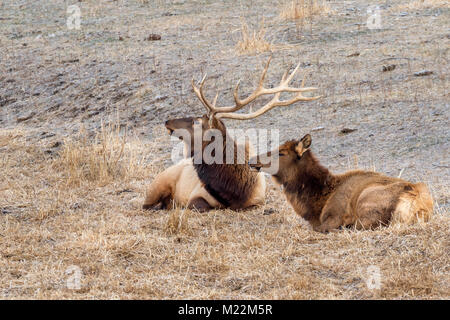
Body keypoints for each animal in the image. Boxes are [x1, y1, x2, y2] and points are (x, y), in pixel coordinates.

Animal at [143, 57, 320, 212]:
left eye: (196, 121)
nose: (167, 121)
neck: (235, 190)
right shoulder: (197, 193)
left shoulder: (257, 200)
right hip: (156, 185)